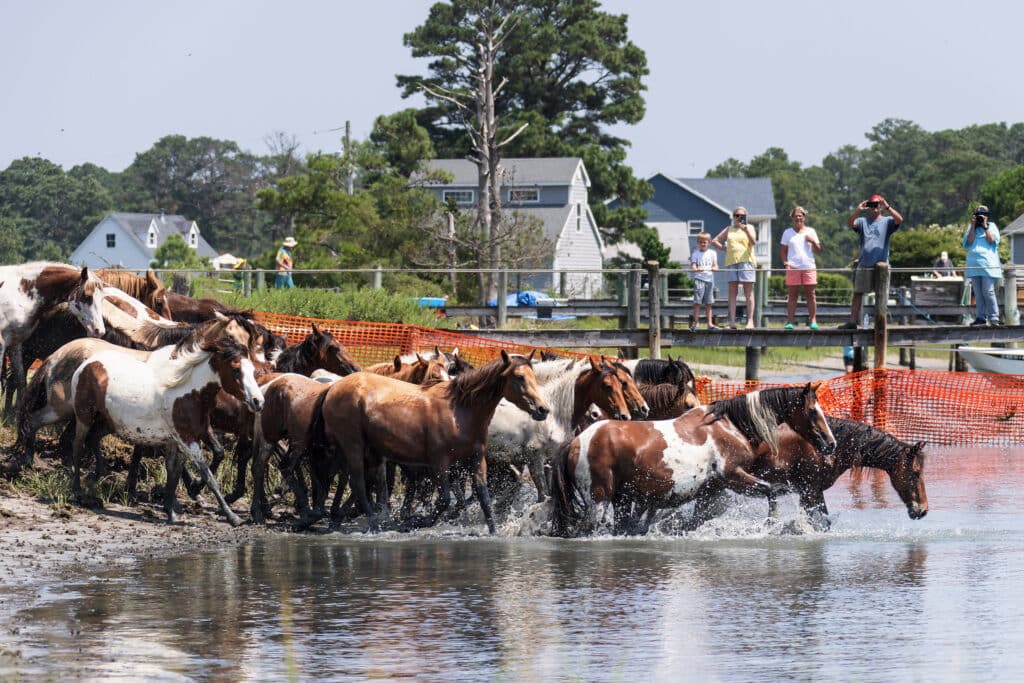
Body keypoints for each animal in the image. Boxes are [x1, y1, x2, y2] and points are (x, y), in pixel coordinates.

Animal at [0, 264, 107, 419]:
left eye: (102, 299)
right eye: (87, 297)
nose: (99, 331)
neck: (20, 293)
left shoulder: (16, 343)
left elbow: (20, 380)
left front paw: (15, 416)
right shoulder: (2, 343)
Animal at [66, 317, 262, 528]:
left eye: (252, 370)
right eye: (235, 370)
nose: (258, 401)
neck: (188, 393)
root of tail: (87, 364)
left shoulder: (185, 437)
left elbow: (175, 471)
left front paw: (172, 512)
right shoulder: (187, 439)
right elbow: (207, 475)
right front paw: (233, 517)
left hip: (108, 422)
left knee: (93, 438)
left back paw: (97, 475)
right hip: (84, 417)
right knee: (77, 447)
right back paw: (78, 492)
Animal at [315, 352, 552, 532]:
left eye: (533, 376)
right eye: (519, 377)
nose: (542, 409)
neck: (460, 410)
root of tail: (332, 388)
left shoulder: (476, 460)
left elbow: (484, 498)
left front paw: (493, 532)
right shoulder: (440, 462)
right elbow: (444, 500)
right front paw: (415, 522)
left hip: (363, 451)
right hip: (353, 445)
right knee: (358, 484)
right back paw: (375, 523)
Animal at [548, 382, 835, 536]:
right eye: (812, 411)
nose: (830, 443)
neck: (730, 425)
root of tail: (576, 442)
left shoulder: (712, 489)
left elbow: (700, 518)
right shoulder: (734, 476)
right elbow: (771, 490)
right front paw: (773, 522)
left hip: (620, 500)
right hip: (599, 501)